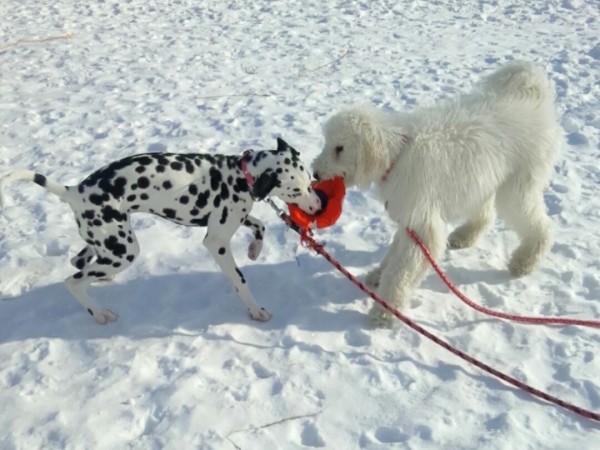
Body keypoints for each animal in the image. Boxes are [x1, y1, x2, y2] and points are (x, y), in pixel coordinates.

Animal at [1, 137, 324, 324]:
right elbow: (240, 280)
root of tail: (75, 191)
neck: (240, 175)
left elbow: (259, 225)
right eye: (296, 190)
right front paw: (255, 310)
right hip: (124, 249)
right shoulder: (216, 241)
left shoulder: (231, 220)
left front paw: (254, 249)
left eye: (309, 180)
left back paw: (102, 280)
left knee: (80, 261)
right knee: (72, 281)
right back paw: (100, 313)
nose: (318, 205)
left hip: (107, 241)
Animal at [314, 59, 564, 326]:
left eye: (340, 148)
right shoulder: (410, 218)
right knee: (486, 214)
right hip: (482, 181)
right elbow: (394, 253)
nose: (315, 173)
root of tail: (535, 102)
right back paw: (465, 236)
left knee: (540, 224)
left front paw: (384, 310)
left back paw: (525, 261)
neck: (398, 153)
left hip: (517, 187)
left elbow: (401, 272)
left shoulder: (423, 223)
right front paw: (378, 275)